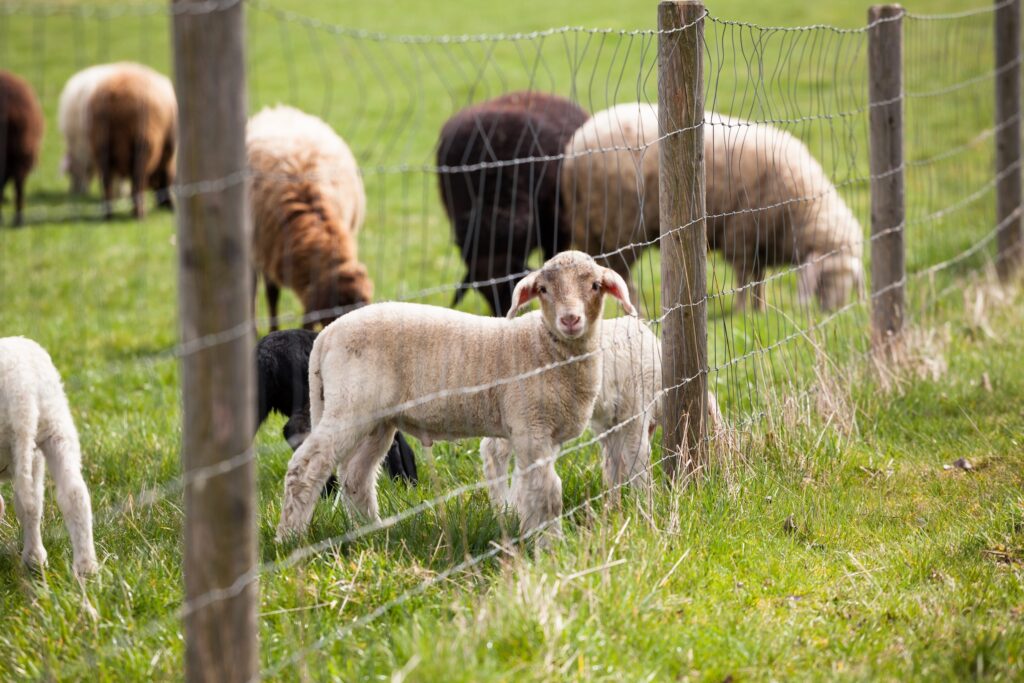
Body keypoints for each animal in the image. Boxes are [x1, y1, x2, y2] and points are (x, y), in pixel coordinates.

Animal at [0, 70, 44, 228]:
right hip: (22, 152)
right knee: (18, 183)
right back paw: (18, 220)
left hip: (21, 152)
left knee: (17, 185)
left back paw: (17, 220)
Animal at [86, 62, 177, 219]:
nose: (163, 205)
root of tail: (115, 94)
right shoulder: (167, 152)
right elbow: (167, 176)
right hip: (143, 145)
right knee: (137, 183)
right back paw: (140, 214)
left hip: (100, 145)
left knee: (107, 183)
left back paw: (108, 214)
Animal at [275, 250, 636, 546]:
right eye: (544, 289)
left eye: (594, 285)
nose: (570, 319)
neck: (543, 347)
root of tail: (326, 335)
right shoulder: (530, 425)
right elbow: (548, 492)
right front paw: (551, 545)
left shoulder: (544, 434)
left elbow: (531, 488)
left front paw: (533, 532)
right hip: (350, 404)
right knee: (307, 467)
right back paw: (290, 539)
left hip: (377, 419)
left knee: (356, 477)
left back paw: (372, 531)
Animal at [480, 317, 726, 507]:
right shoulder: (634, 411)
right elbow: (636, 458)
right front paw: (645, 506)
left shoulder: (610, 424)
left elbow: (613, 464)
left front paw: (614, 508)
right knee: (495, 450)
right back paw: (508, 506)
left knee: (495, 449)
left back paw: (505, 508)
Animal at [561, 103, 864, 312]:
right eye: (824, 279)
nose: (833, 311)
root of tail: (577, 145)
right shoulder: (741, 234)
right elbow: (744, 278)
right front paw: (742, 312)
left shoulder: (761, 242)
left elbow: (759, 279)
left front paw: (761, 309)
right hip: (620, 227)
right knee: (623, 273)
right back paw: (640, 311)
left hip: (591, 226)